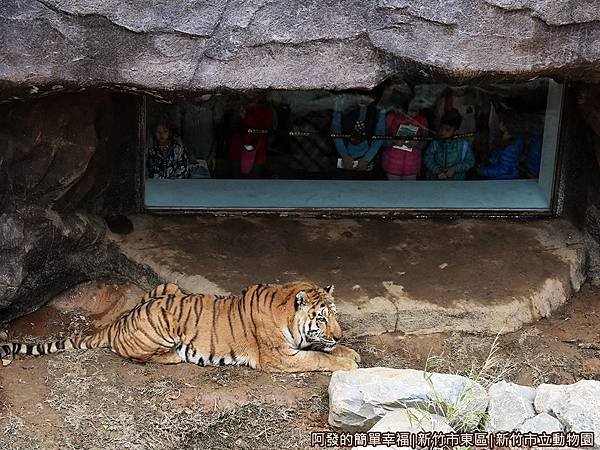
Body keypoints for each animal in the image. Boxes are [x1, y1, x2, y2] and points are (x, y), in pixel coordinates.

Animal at [0, 282, 358, 372]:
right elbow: (319, 357)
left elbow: (324, 349)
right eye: (321, 318)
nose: (340, 332)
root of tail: (116, 322)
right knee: (136, 356)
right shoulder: (281, 358)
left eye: (335, 315)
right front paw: (347, 361)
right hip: (161, 321)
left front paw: (348, 350)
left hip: (167, 288)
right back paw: (175, 356)